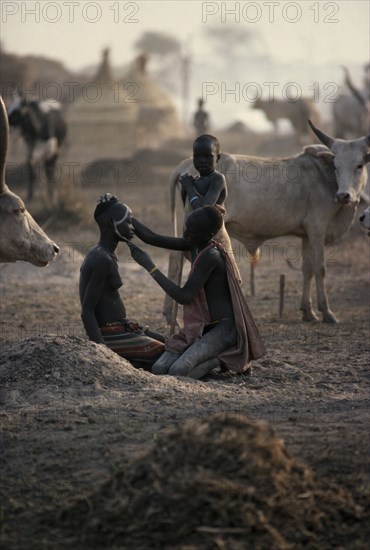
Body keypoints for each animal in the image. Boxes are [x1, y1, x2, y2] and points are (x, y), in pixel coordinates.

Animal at [167, 122, 370, 324]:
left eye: (359, 165)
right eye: (336, 166)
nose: (344, 195)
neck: (324, 177)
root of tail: (184, 165)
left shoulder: (306, 234)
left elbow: (307, 269)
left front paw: (308, 311)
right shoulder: (317, 228)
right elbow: (320, 268)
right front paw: (327, 312)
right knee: (178, 260)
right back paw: (172, 318)